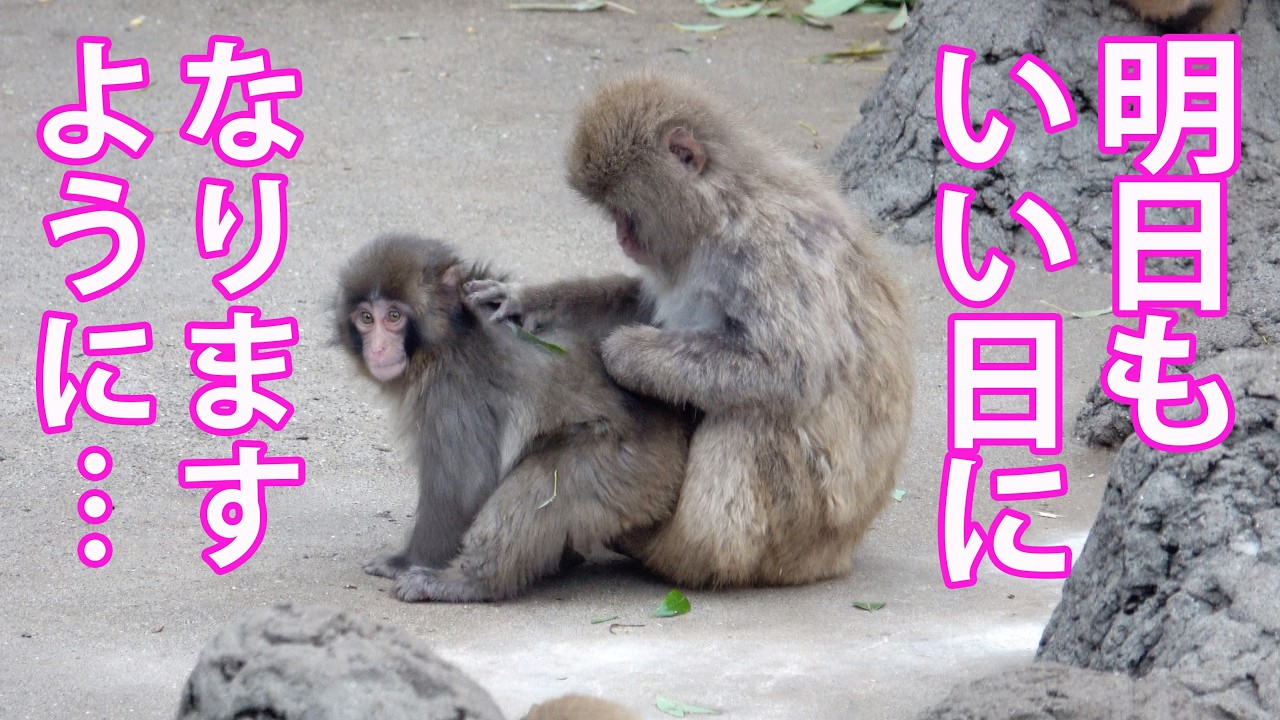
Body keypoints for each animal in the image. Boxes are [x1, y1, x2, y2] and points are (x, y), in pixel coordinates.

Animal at [336, 235, 689, 602]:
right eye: (366, 318)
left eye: (393, 316)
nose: (377, 348)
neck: (448, 334)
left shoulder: (452, 388)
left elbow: (463, 485)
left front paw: (404, 562)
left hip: (627, 468)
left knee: (542, 483)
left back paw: (469, 582)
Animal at [467, 72, 915, 589]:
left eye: (623, 210)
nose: (622, 236)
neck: (721, 209)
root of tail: (840, 551)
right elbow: (641, 302)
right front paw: (526, 300)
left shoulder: (768, 253)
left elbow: (787, 370)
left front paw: (624, 353)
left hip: (805, 527)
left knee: (755, 413)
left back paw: (686, 550)